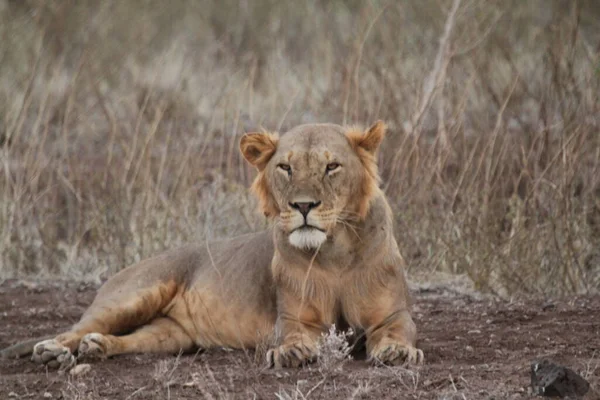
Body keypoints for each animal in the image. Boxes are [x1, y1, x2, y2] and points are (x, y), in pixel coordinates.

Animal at [1, 121, 422, 368]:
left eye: (332, 166)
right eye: (285, 168)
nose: (303, 206)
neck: (334, 253)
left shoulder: (392, 314)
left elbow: (398, 331)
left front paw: (398, 352)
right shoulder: (295, 319)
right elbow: (295, 335)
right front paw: (292, 352)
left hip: (172, 336)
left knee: (128, 338)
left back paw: (96, 348)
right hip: (133, 296)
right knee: (74, 328)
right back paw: (54, 352)